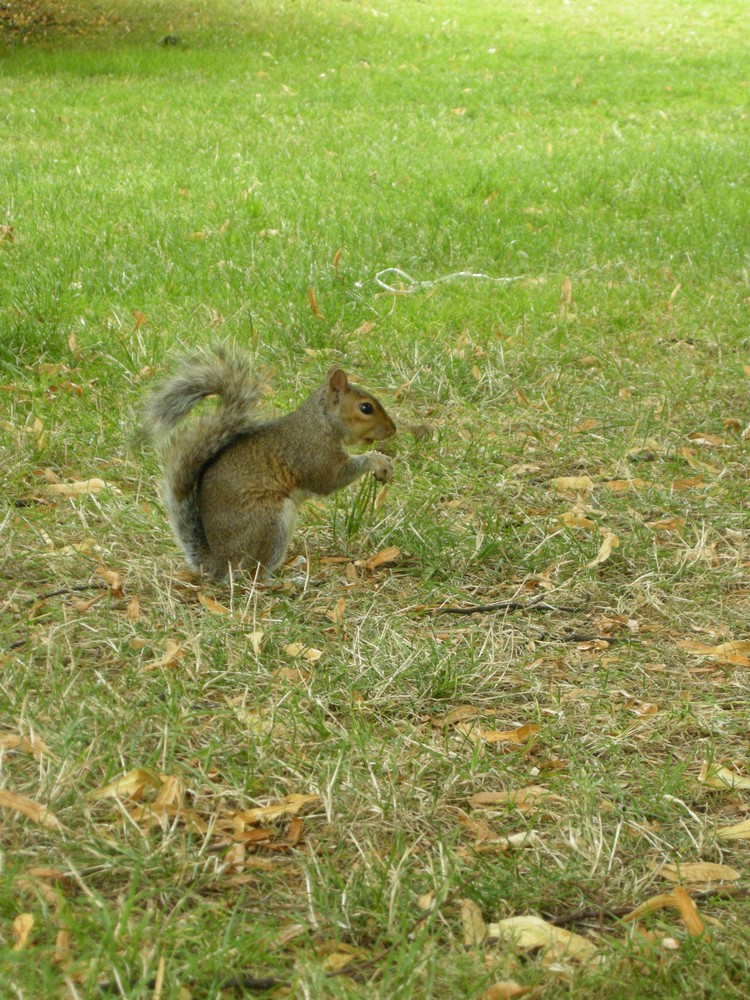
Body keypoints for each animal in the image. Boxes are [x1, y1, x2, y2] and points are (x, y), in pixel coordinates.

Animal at [142, 344, 400, 580]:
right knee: (254, 575)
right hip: (270, 521)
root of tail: (218, 563)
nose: (393, 430)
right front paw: (377, 460)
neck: (323, 421)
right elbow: (330, 479)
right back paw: (287, 581)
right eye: (365, 408)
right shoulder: (313, 452)